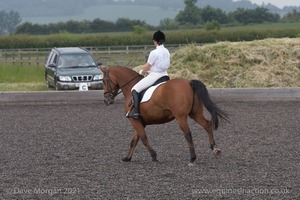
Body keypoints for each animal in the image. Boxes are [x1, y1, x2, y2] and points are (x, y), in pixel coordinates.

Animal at [99, 65, 229, 166]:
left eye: (104, 80)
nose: (106, 100)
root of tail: (188, 82)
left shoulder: (134, 120)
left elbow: (143, 138)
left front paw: (154, 156)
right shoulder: (141, 121)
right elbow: (134, 140)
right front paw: (127, 158)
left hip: (180, 117)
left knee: (187, 134)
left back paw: (192, 158)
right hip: (195, 114)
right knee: (207, 125)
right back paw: (215, 149)